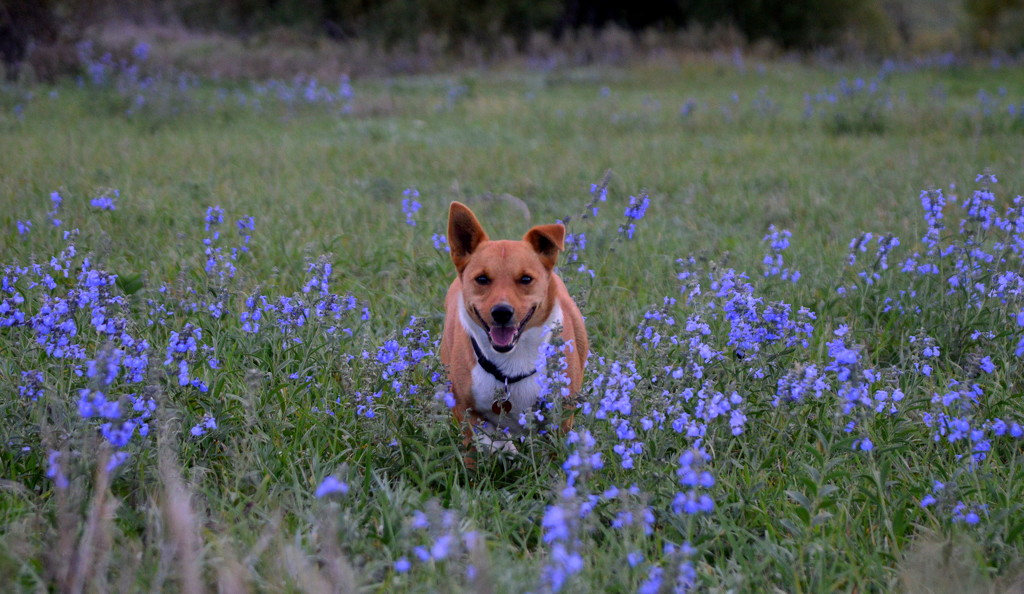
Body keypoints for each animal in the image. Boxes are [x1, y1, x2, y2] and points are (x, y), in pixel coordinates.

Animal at [436, 201, 589, 452]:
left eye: (526, 279)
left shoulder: (561, 417)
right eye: (482, 279)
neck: (512, 364)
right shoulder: (466, 412)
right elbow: (477, 443)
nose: (501, 312)